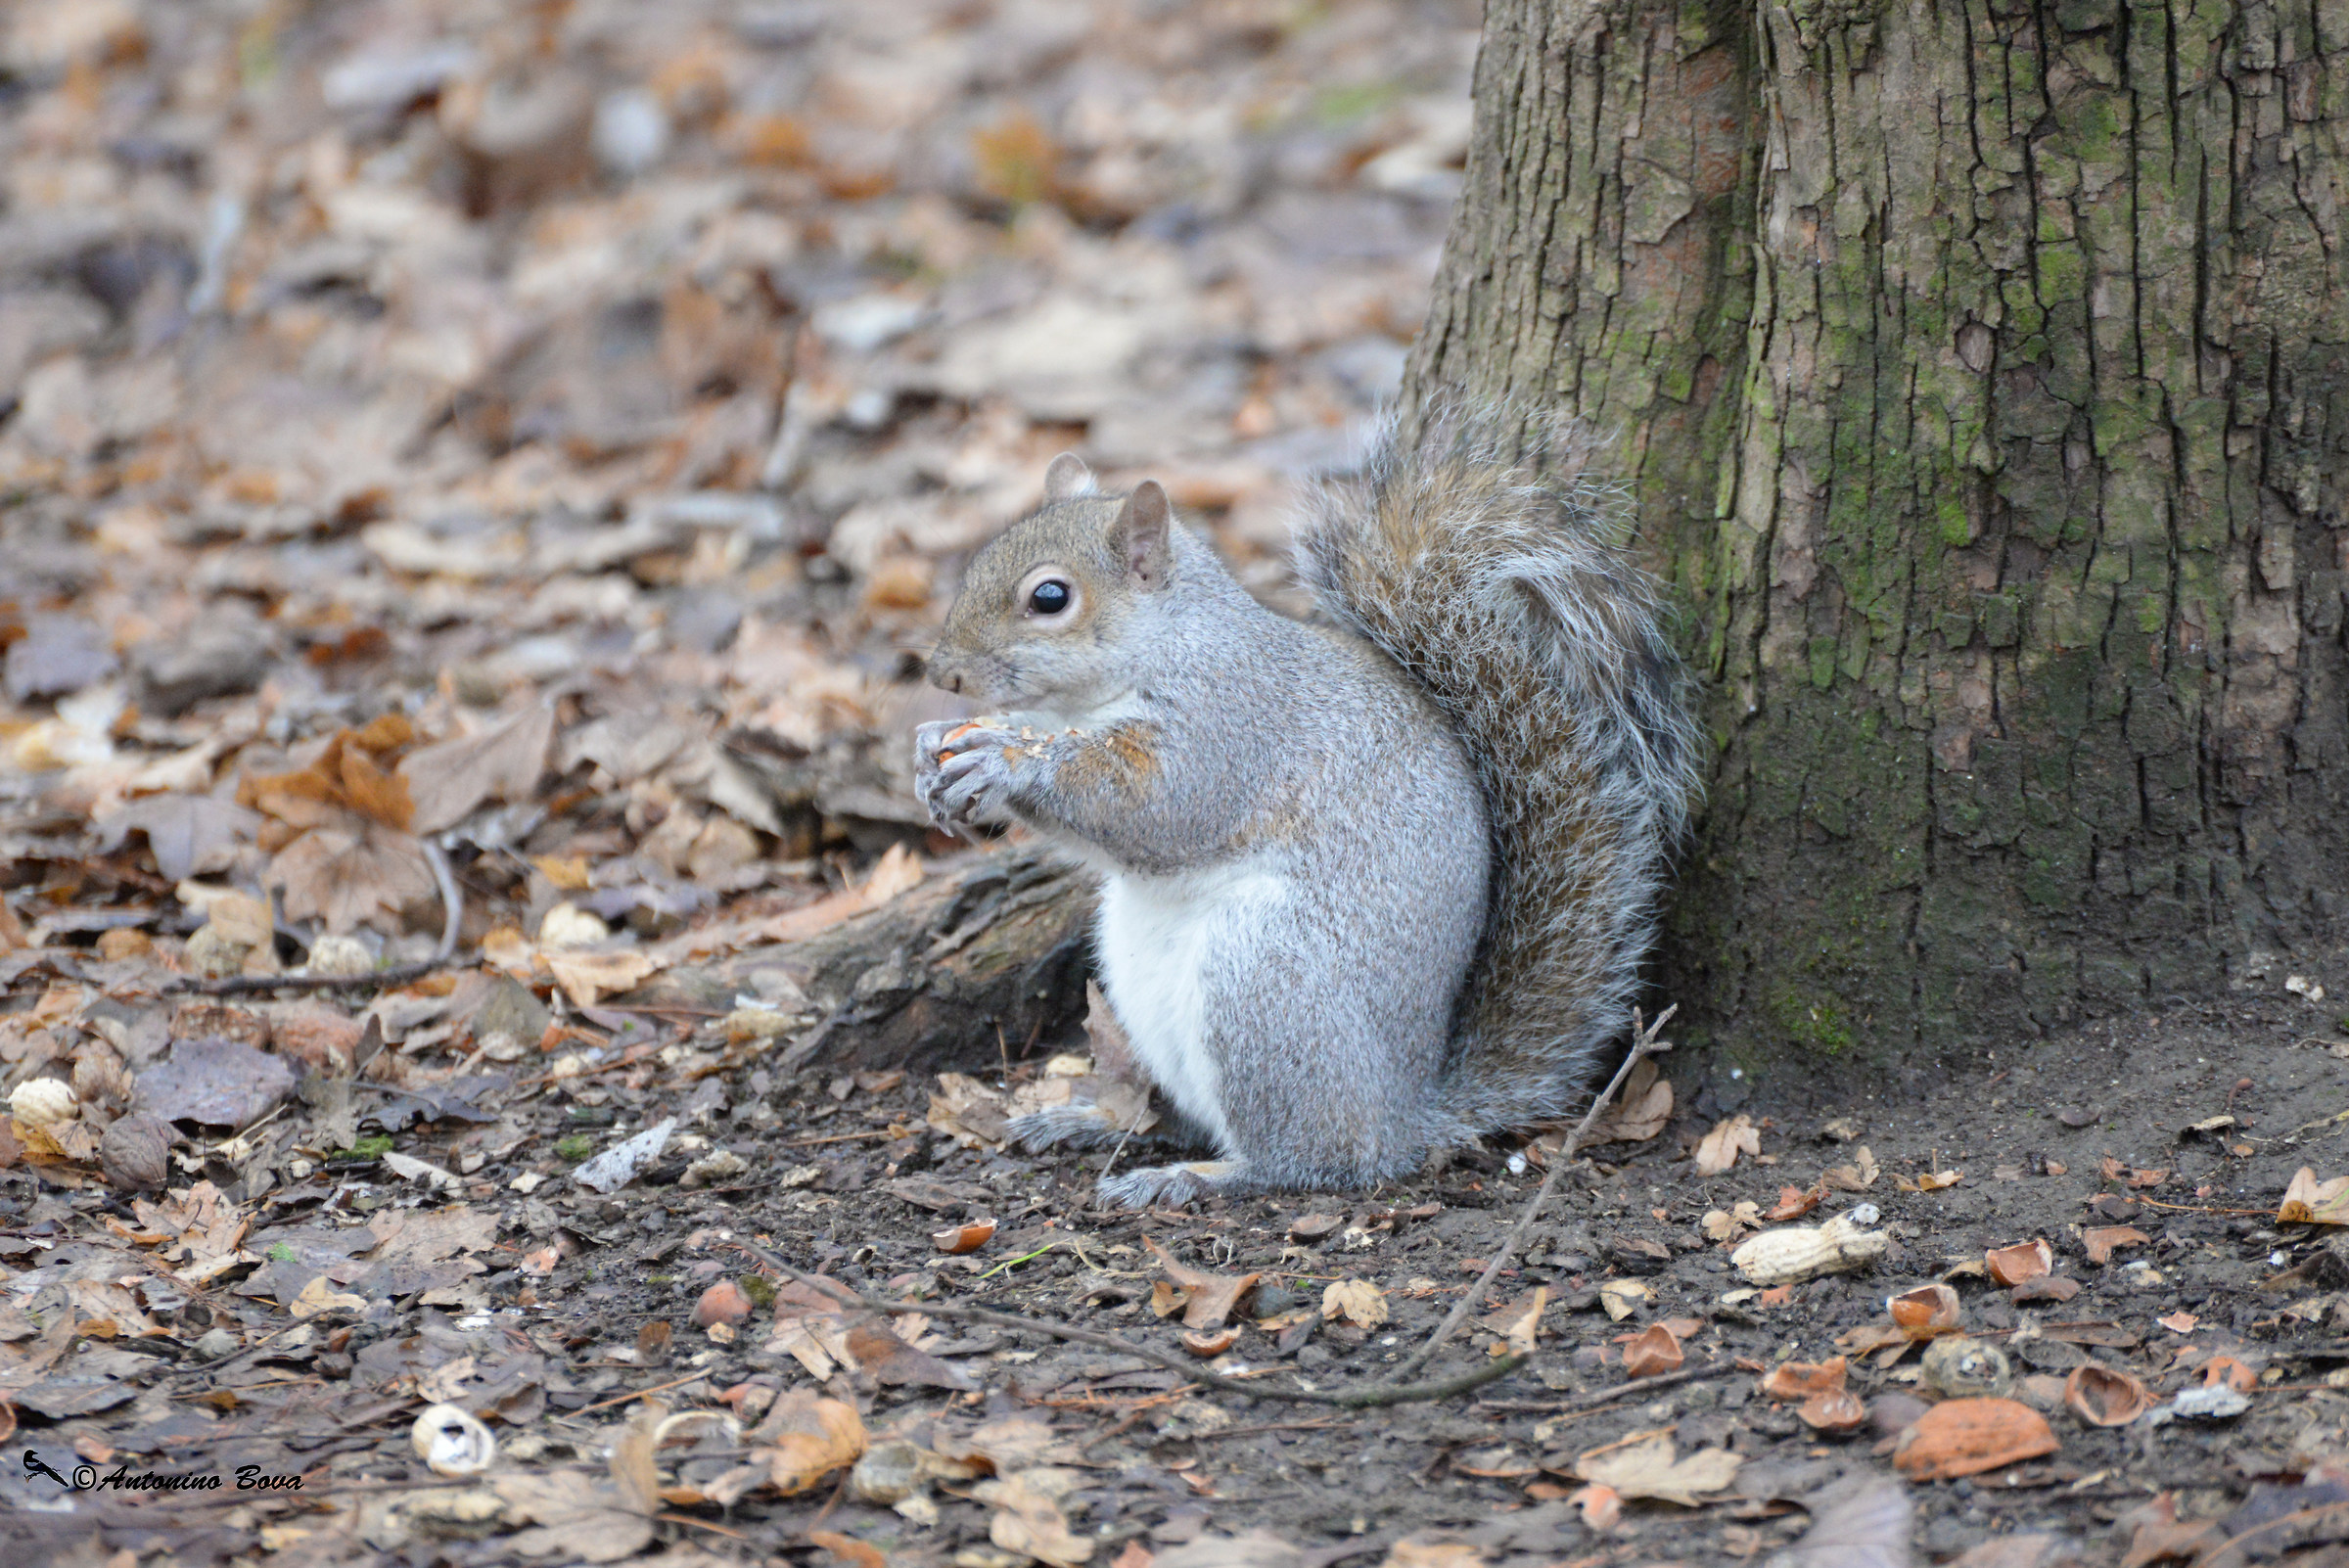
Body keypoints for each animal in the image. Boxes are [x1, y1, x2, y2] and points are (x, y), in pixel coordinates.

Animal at [913, 406, 1701, 1208]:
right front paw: (937, 747)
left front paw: (1006, 761)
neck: (1160, 648)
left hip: (1264, 983)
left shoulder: (1228, 725)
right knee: (1199, 1119)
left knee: (1312, 1160)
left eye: (1050, 597)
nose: (940, 673)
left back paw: (1194, 1177)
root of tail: (1405, 1113)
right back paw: (1099, 1124)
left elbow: (1155, 805)